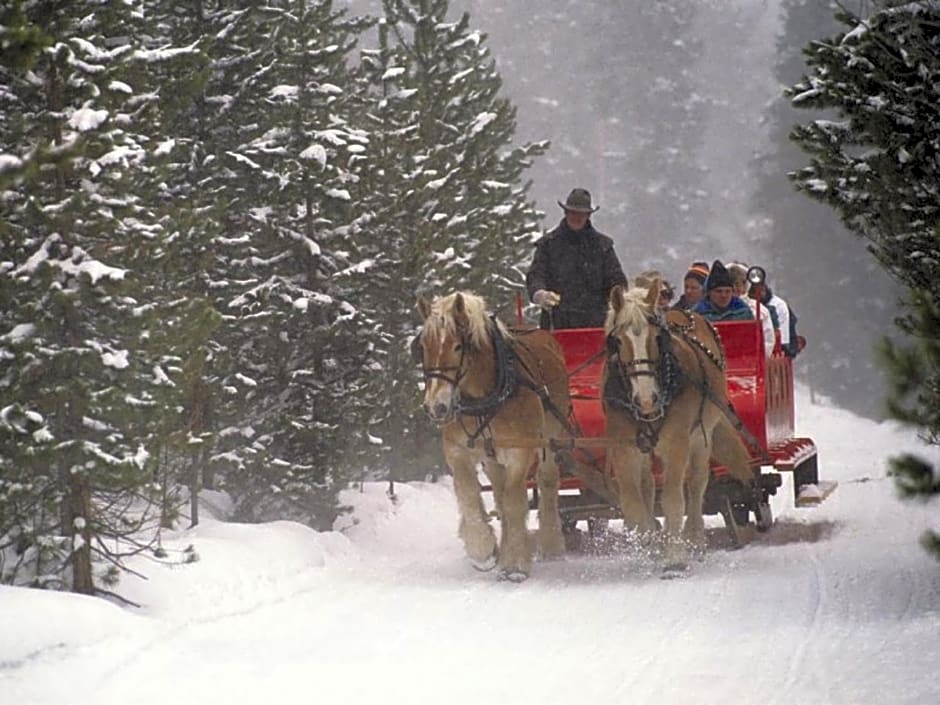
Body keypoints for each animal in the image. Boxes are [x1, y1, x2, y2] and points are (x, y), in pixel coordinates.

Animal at [416, 288, 572, 580]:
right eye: (423, 347)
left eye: (457, 346)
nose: (436, 407)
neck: (487, 396)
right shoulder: (458, 451)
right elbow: (470, 494)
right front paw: (483, 549)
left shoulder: (520, 450)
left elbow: (514, 502)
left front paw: (516, 564)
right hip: (491, 456)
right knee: (499, 495)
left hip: (550, 438)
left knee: (546, 482)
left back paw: (550, 543)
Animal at [604, 278, 752, 568]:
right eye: (617, 340)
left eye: (656, 337)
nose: (647, 399)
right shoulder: (623, 447)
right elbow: (632, 501)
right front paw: (648, 545)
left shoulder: (676, 443)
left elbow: (673, 498)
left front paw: (674, 556)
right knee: (648, 486)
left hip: (701, 436)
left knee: (696, 484)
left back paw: (695, 541)